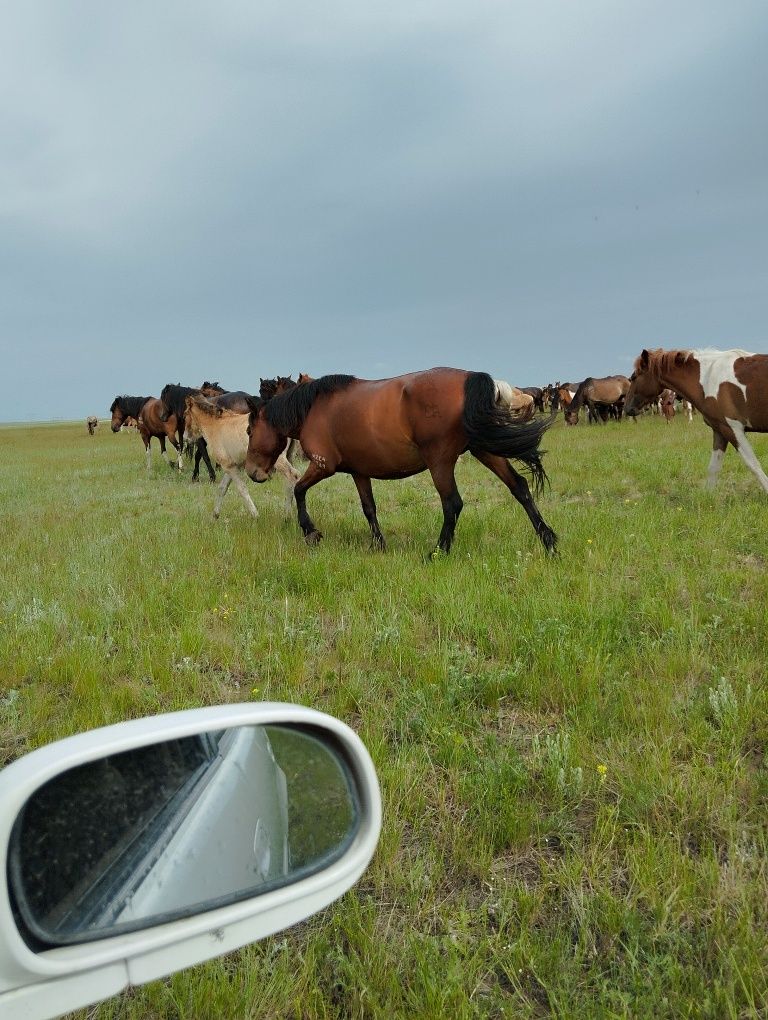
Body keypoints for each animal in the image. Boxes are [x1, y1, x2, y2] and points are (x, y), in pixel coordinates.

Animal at [245, 369, 558, 558]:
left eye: (249, 431)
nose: (252, 473)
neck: (314, 407)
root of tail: (470, 377)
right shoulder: (359, 472)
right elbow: (369, 508)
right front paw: (378, 544)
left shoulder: (323, 466)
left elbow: (299, 490)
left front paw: (311, 532)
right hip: (483, 449)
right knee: (519, 487)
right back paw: (549, 541)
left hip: (440, 461)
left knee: (452, 503)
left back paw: (438, 552)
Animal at [624, 348, 768, 491]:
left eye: (634, 377)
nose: (627, 408)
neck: (707, 377)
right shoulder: (720, 430)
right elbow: (713, 468)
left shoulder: (732, 429)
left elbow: (753, 464)